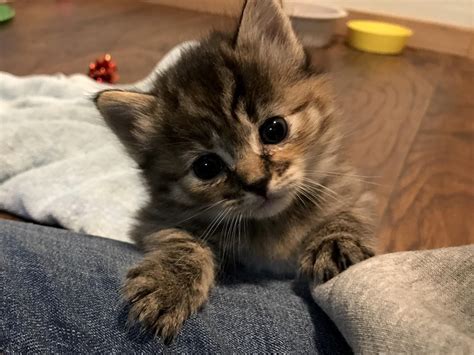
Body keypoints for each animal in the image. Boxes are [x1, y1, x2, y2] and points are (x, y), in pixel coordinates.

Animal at [95, 0, 374, 344]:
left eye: (274, 129)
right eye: (206, 167)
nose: (258, 183)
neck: (271, 226)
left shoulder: (347, 186)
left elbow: (348, 212)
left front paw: (335, 241)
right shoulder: (153, 219)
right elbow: (182, 240)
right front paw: (168, 284)